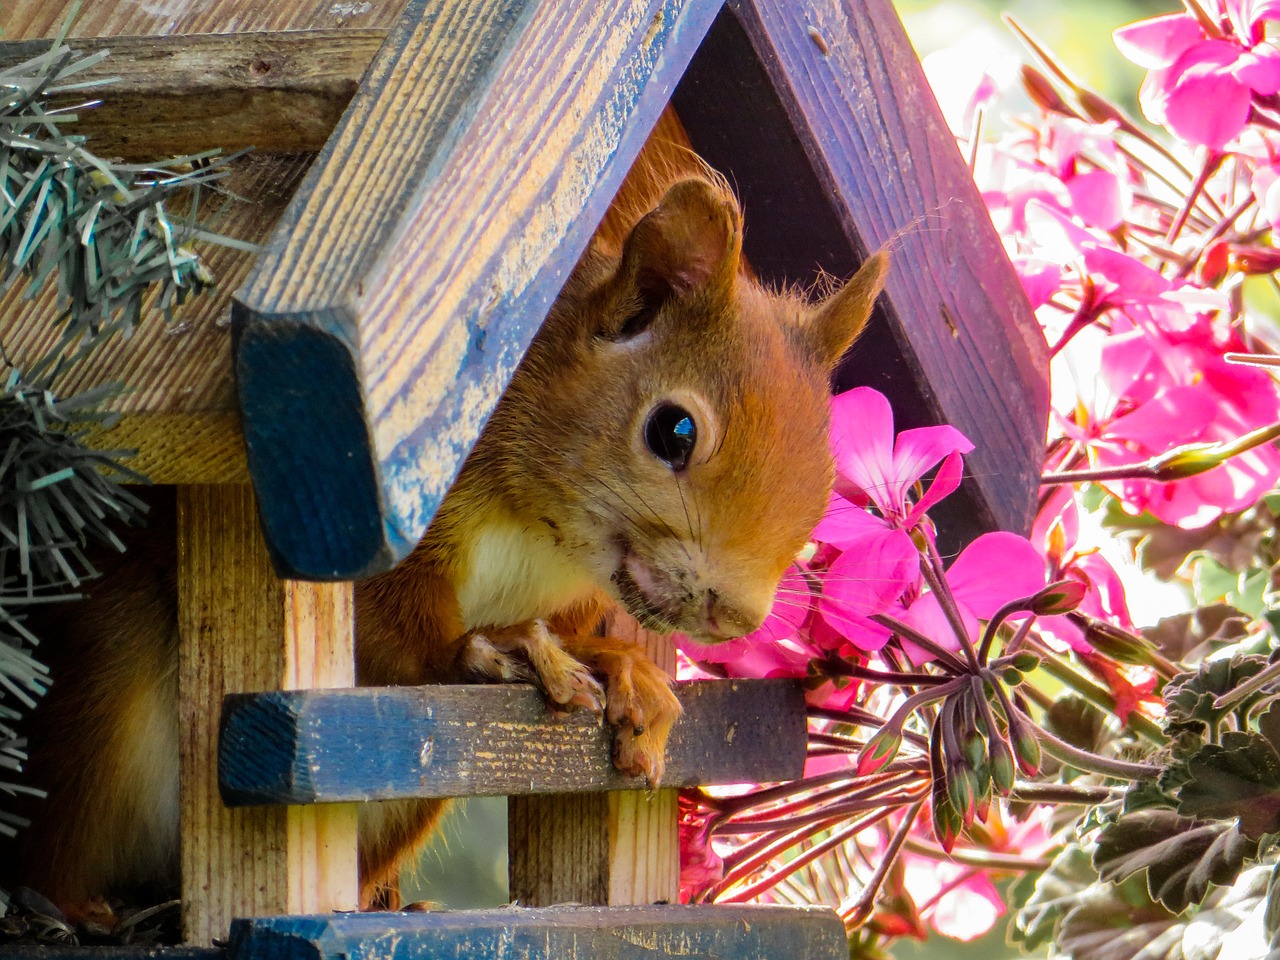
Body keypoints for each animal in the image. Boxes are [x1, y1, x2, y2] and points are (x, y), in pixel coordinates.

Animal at [0, 154, 885, 911]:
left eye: (822, 477)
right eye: (674, 432)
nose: (734, 615)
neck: (545, 543)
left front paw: (627, 670)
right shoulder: (382, 535)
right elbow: (391, 634)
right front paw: (497, 650)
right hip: (99, 724)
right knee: (62, 834)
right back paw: (76, 908)